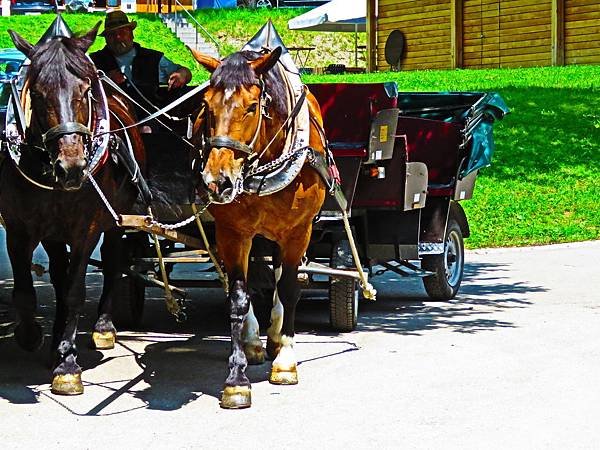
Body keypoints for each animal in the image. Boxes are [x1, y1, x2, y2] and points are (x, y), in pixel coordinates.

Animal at [1, 20, 146, 394]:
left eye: (86, 90)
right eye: (37, 93)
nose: (72, 167)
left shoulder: (86, 228)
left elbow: (74, 291)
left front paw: (67, 364)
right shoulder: (18, 228)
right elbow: (26, 292)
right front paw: (31, 335)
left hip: (117, 218)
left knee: (112, 261)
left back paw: (103, 326)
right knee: (57, 270)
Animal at [190, 47, 326, 410]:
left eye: (252, 106)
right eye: (206, 106)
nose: (216, 181)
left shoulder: (298, 231)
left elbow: (290, 288)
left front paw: (286, 361)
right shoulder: (233, 233)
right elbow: (238, 296)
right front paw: (236, 380)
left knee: (280, 279)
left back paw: (277, 337)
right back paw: (254, 341)